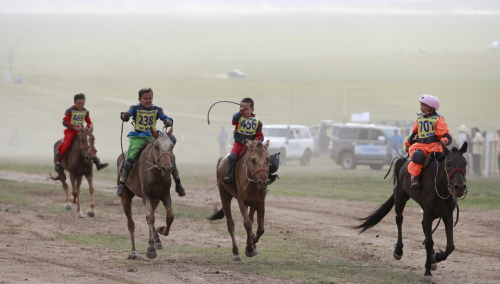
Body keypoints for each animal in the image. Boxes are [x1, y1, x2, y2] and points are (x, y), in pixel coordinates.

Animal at [116, 126, 175, 260]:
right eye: (156, 146)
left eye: (172, 145)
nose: (167, 169)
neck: (156, 173)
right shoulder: (146, 195)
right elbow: (150, 217)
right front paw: (151, 249)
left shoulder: (164, 195)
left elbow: (169, 216)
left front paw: (161, 230)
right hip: (126, 196)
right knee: (131, 223)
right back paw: (133, 252)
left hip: (155, 199)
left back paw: (157, 240)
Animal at [354, 142, 466, 282]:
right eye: (449, 163)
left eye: (465, 163)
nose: (459, 187)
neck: (439, 188)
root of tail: (402, 159)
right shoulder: (428, 214)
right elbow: (429, 243)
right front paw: (428, 271)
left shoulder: (447, 215)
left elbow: (450, 246)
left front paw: (436, 257)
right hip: (400, 196)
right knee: (399, 219)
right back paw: (398, 250)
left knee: (423, 227)